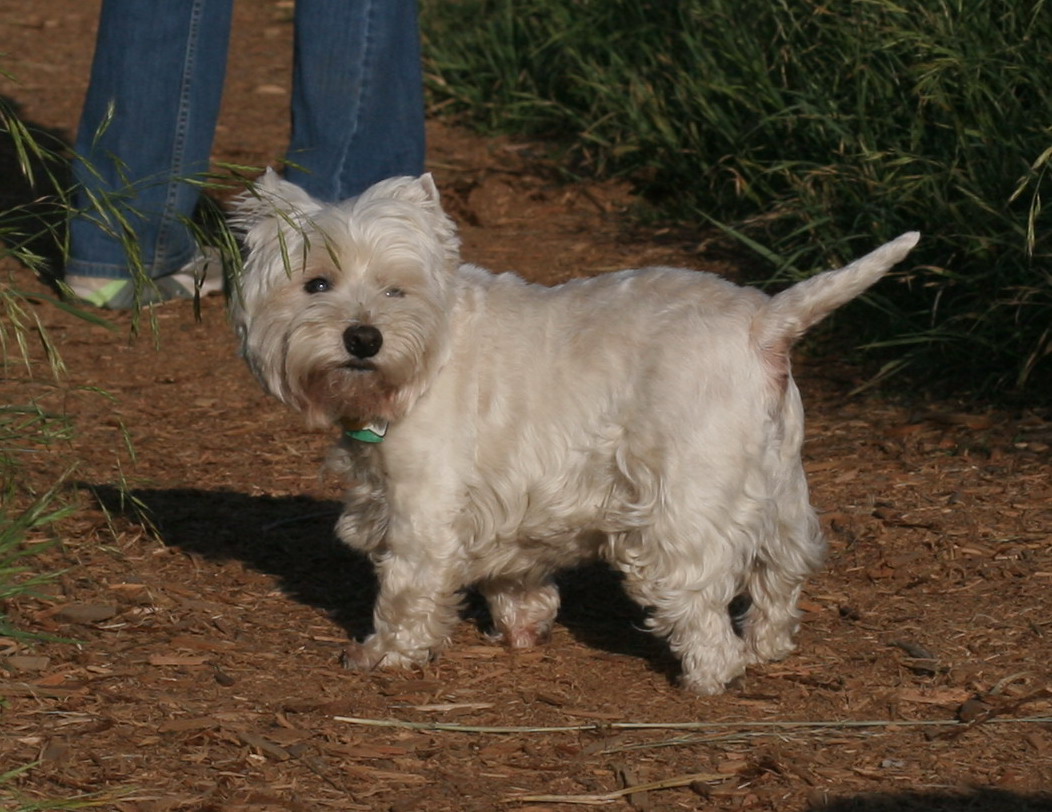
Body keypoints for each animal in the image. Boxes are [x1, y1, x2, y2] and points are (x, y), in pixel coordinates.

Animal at [230, 169, 918, 694]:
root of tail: (766, 324)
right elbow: (515, 573)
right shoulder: (507, 502)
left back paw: (708, 677)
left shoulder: (422, 505)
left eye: (396, 289)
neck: (425, 358)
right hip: (779, 488)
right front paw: (521, 628)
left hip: (687, 500)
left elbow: (407, 588)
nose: (363, 338)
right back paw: (766, 647)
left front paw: (385, 654)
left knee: (700, 597)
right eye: (316, 283)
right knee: (782, 571)